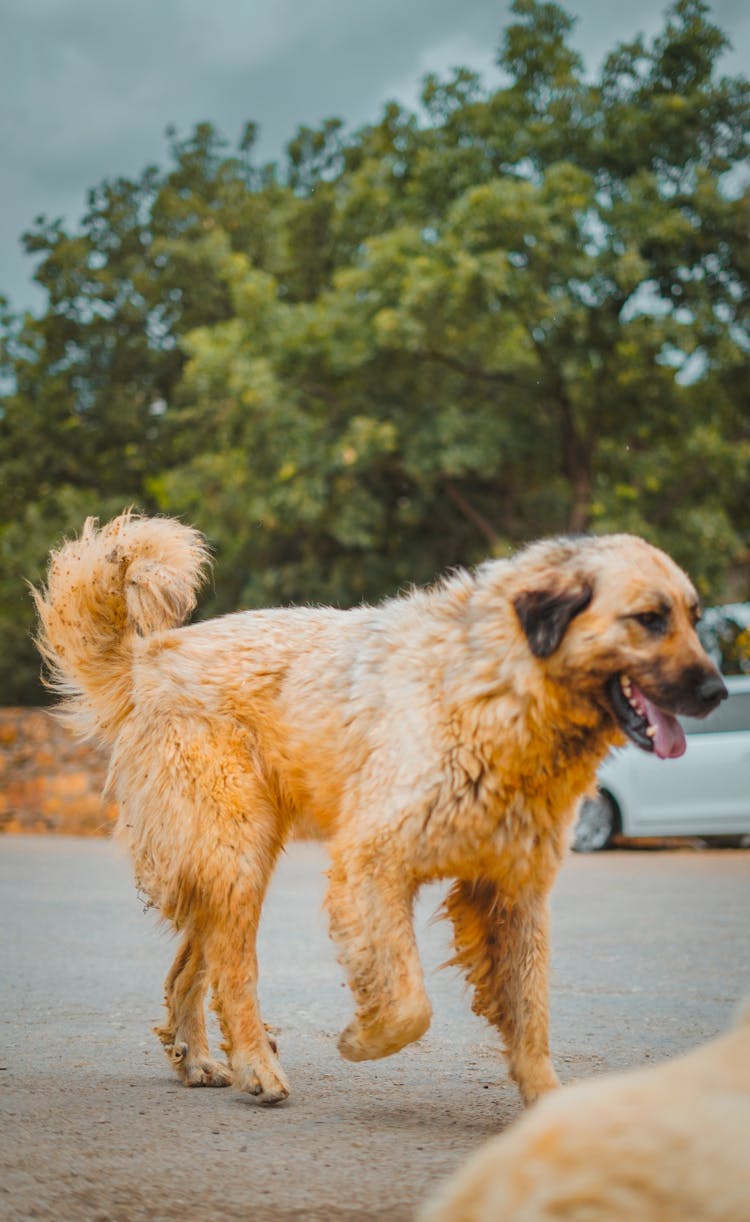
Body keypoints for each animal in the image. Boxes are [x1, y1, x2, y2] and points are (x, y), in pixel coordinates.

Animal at [32, 510, 728, 1104]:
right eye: (649, 618)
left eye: (694, 617)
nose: (718, 691)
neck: (496, 685)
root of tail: (148, 658)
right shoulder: (373, 863)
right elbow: (410, 1005)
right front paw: (362, 1040)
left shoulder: (514, 890)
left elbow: (531, 1014)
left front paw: (546, 1104)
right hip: (236, 851)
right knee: (233, 969)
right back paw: (255, 1065)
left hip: (232, 854)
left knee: (189, 966)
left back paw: (200, 1057)